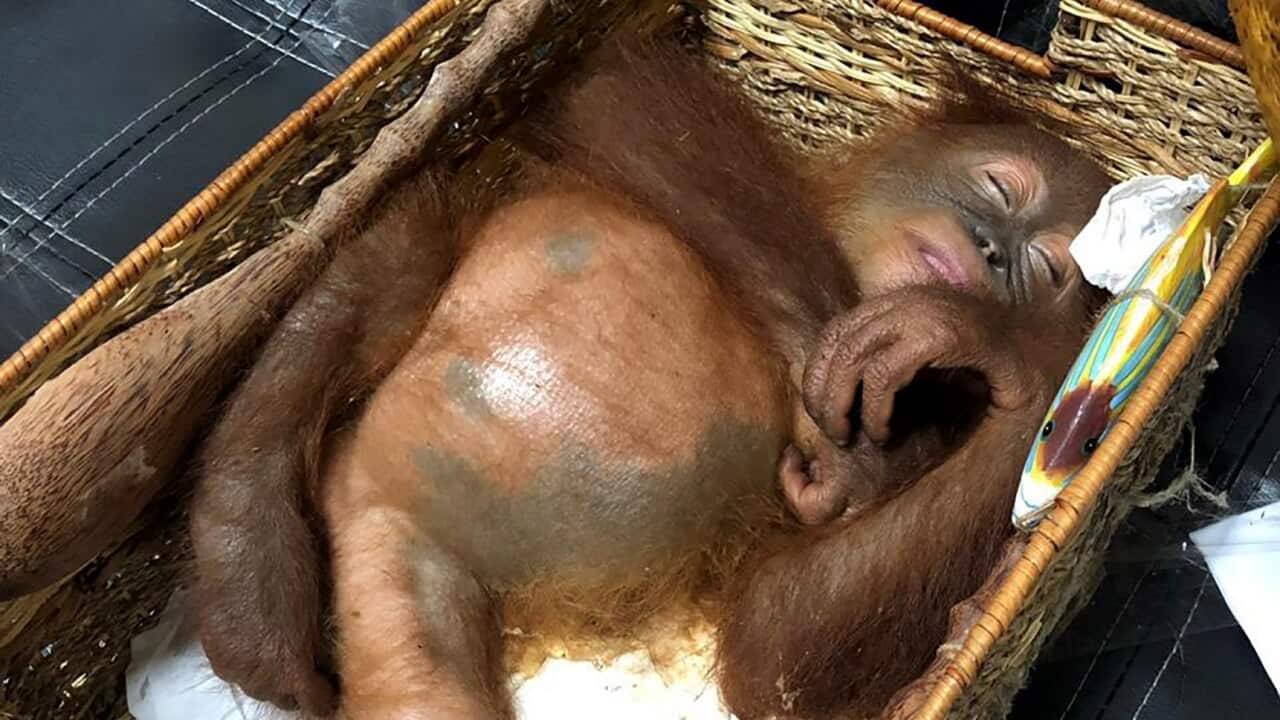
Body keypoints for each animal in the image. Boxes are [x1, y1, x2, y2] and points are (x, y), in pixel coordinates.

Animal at [188, 35, 1111, 719]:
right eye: (997, 186)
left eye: (1047, 271)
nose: (991, 253)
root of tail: (378, 502)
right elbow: (608, 95)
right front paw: (846, 385)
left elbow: (773, 640)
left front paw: (982, 342)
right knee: (402, 246)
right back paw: (250, 572)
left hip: (404, 583)